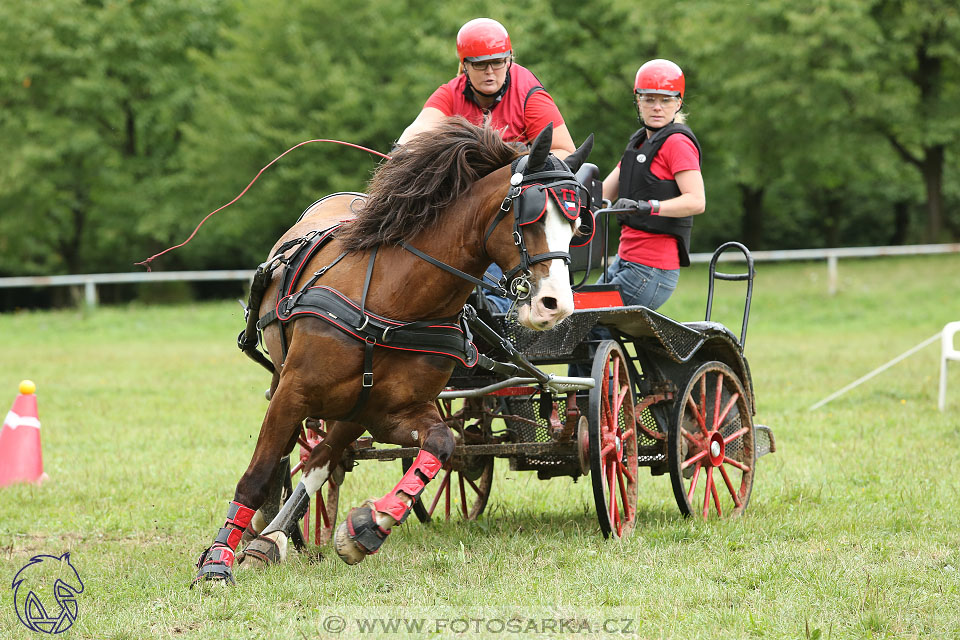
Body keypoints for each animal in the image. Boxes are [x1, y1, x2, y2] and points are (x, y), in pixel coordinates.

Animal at [194, 119, 592, 584]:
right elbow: (256, 475)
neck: (394, 303)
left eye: (577, 225)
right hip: (286, 379)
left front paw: (369, 526)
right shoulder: (295, 391)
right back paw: (262, 531)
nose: (556, 304)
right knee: (293, 453)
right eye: (530, 215)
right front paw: (217, 561)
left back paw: (272, 538)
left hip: (352, 409)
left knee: (323, 459)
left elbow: (441, 444)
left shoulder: (390, 412)